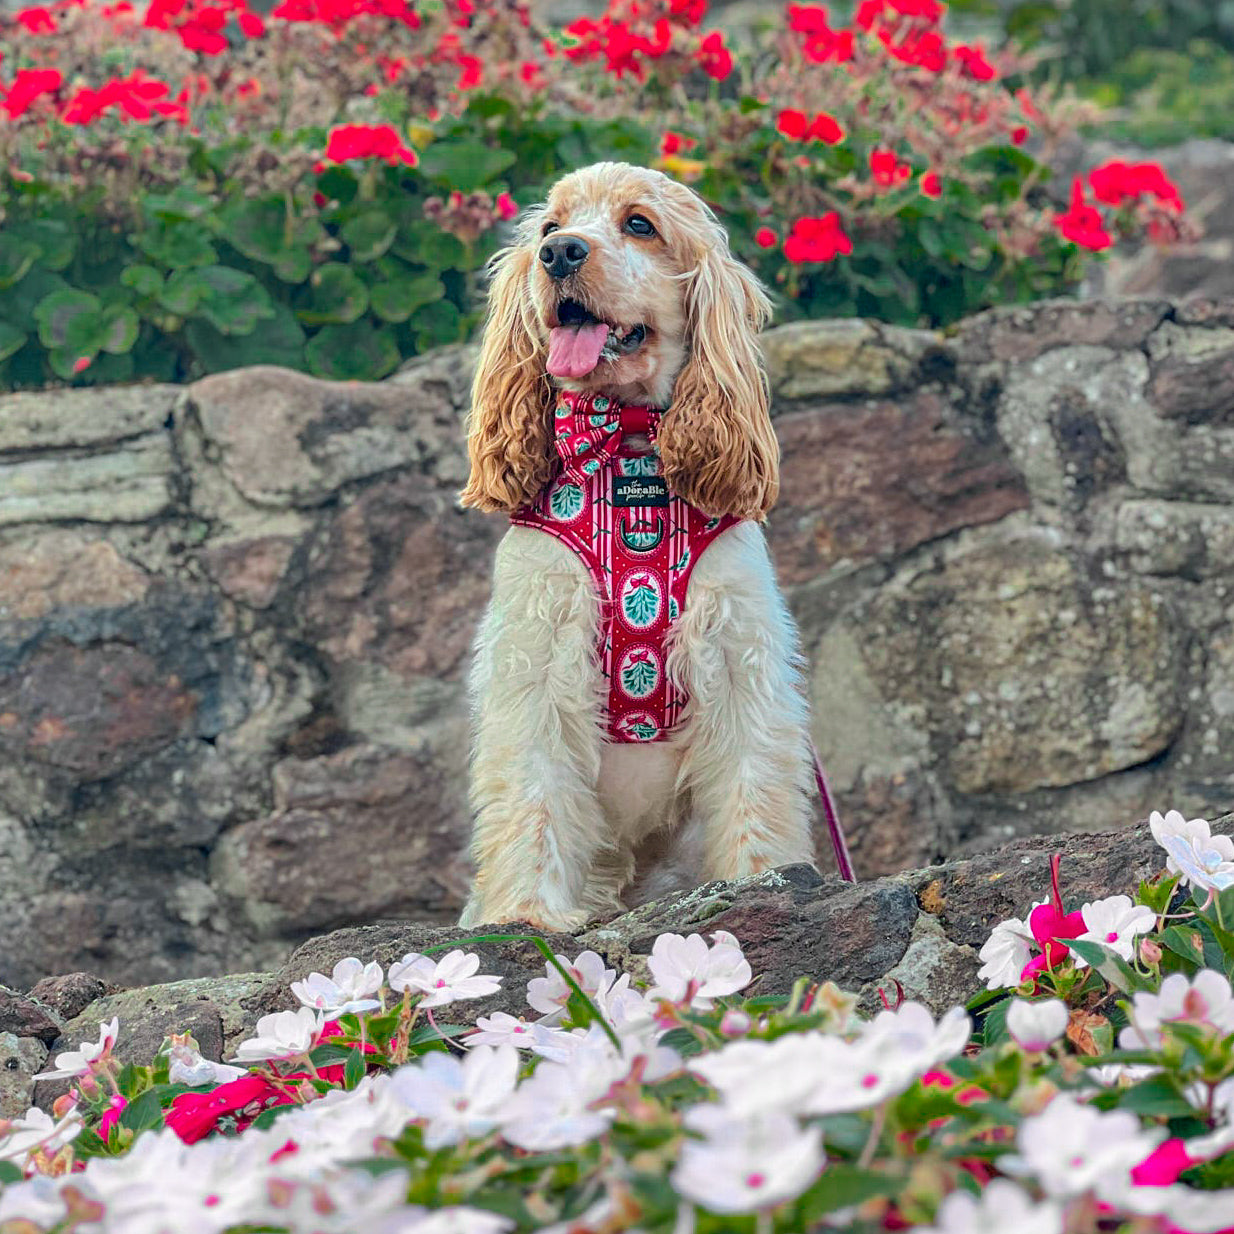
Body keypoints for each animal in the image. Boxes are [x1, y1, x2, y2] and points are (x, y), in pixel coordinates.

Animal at [459, 159, 814, 927]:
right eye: (550, 225)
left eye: (640, 225)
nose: (560, 254)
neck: (622, 445)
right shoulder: (536, 657)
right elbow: (533, 795)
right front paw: (527, 913)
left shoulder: (740, 655)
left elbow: (753, 786)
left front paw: (764, 881)